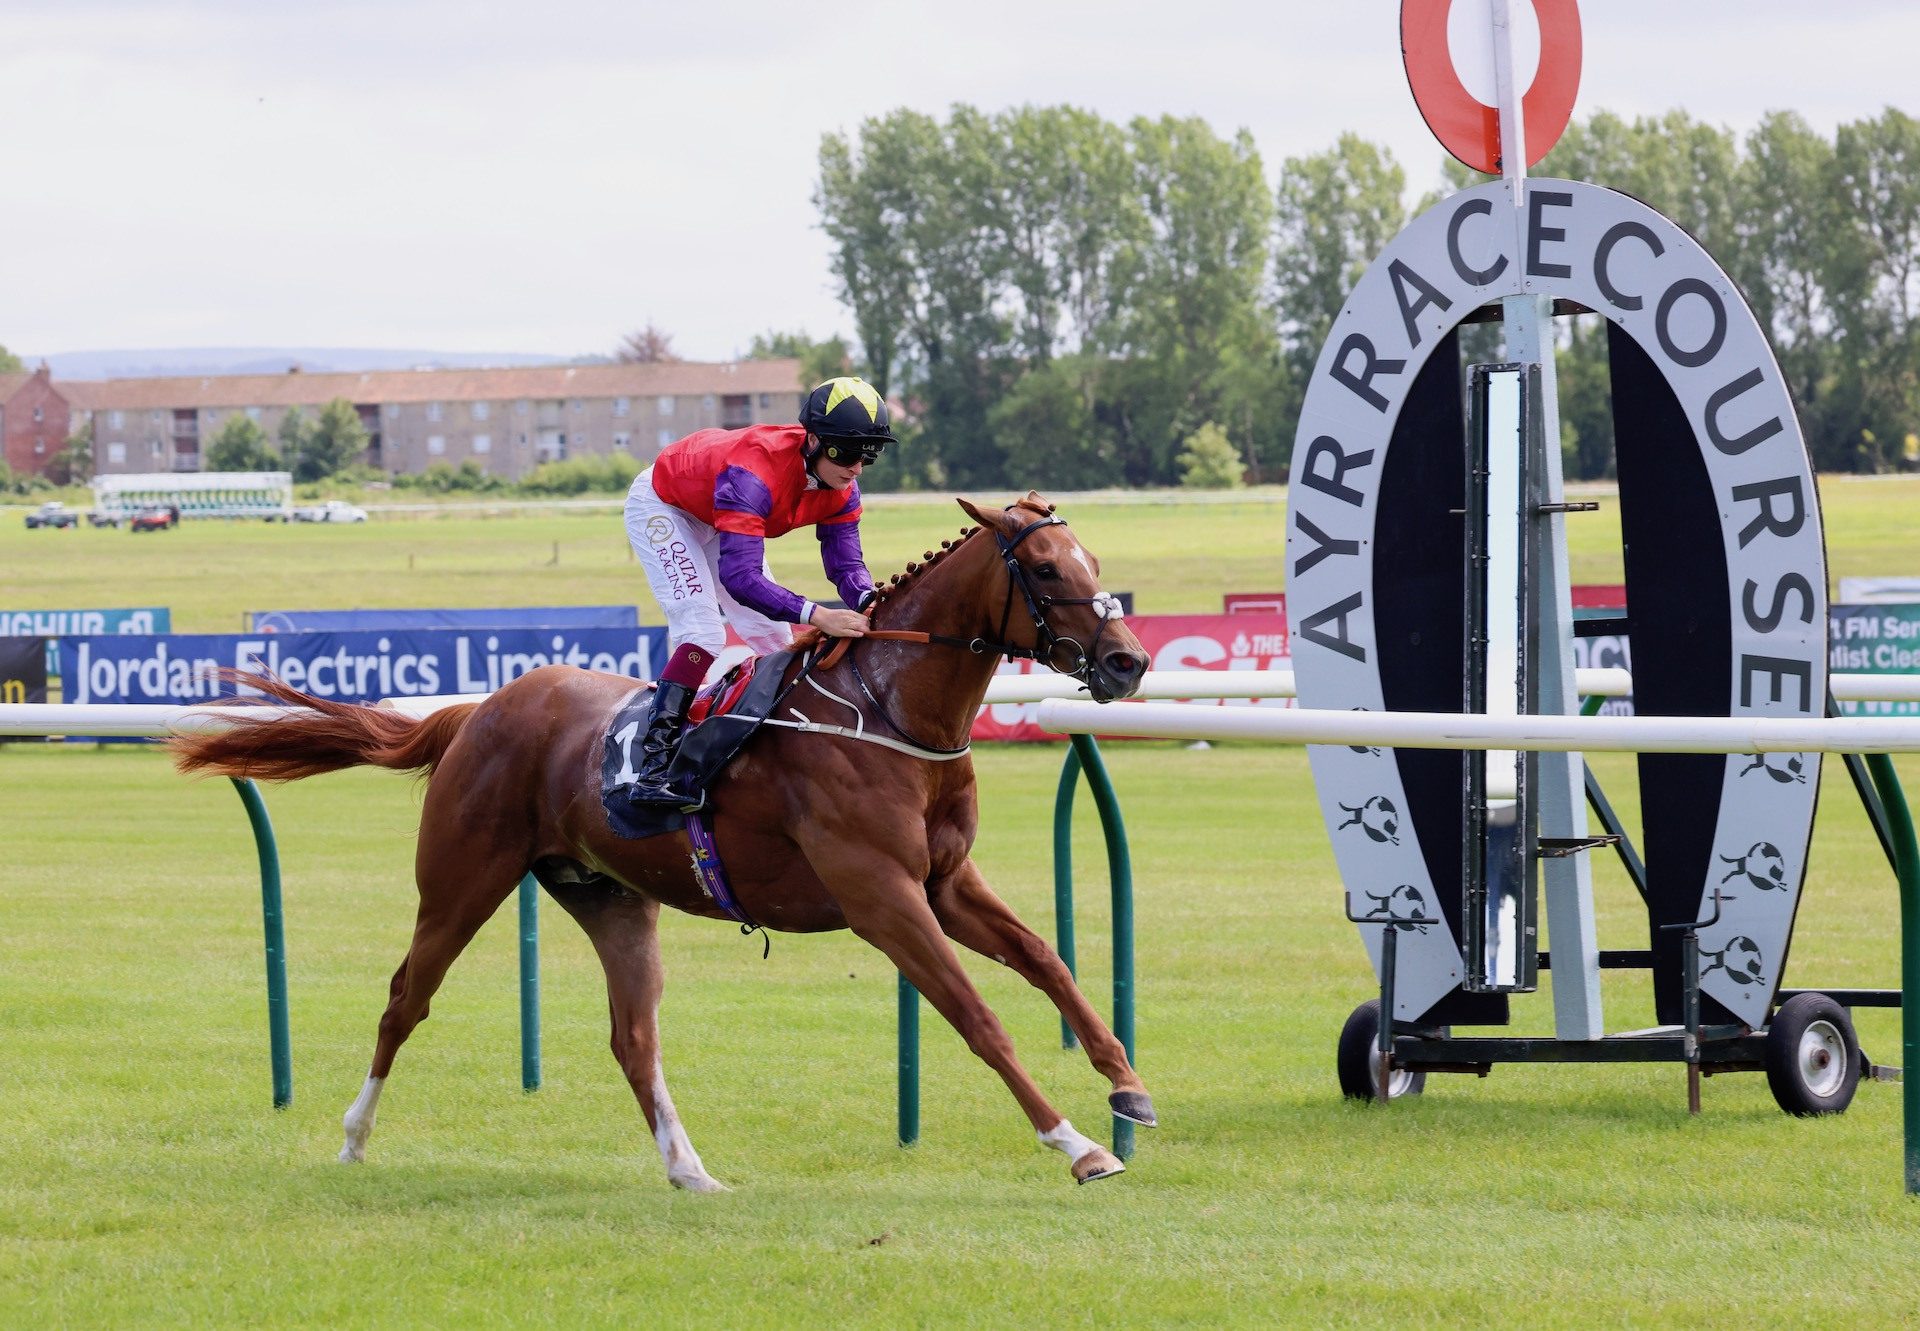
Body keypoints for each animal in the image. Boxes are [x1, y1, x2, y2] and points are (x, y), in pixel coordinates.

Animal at [172, 491, 1152, 1190]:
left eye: (1094, 561)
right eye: (1045, 568)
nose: (1129, 661)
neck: (886, 707)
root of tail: (477, 709)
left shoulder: (944, 881)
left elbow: (1047, 961)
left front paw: (1127, 1086)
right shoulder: (882, 894)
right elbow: (978, 1014)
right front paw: (1077, 1143)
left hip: (611, 898)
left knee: (632, 1035)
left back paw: (691, 1169)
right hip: (460, 880)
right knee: (405, 998)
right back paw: (353, 1137)